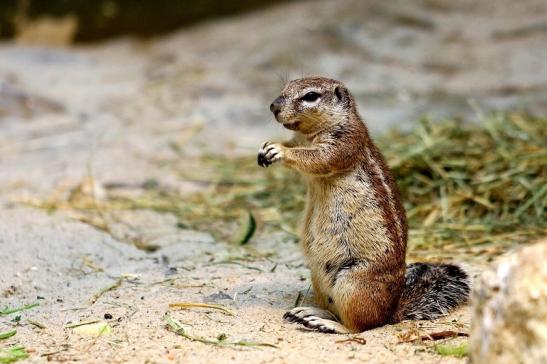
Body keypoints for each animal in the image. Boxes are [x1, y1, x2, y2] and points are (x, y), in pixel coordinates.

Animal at [258, 78, 470, 334]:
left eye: (310, 96)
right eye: (285, 87)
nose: (273, 107)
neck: (309, 135)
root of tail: (392, 312)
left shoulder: (344, 142)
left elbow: (316, 158)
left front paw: (279, 150)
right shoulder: (300, 139)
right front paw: (266, 147)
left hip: (354, 283)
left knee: (359, 325)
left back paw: (325, 323)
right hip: (319, 277)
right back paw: (308, 313)